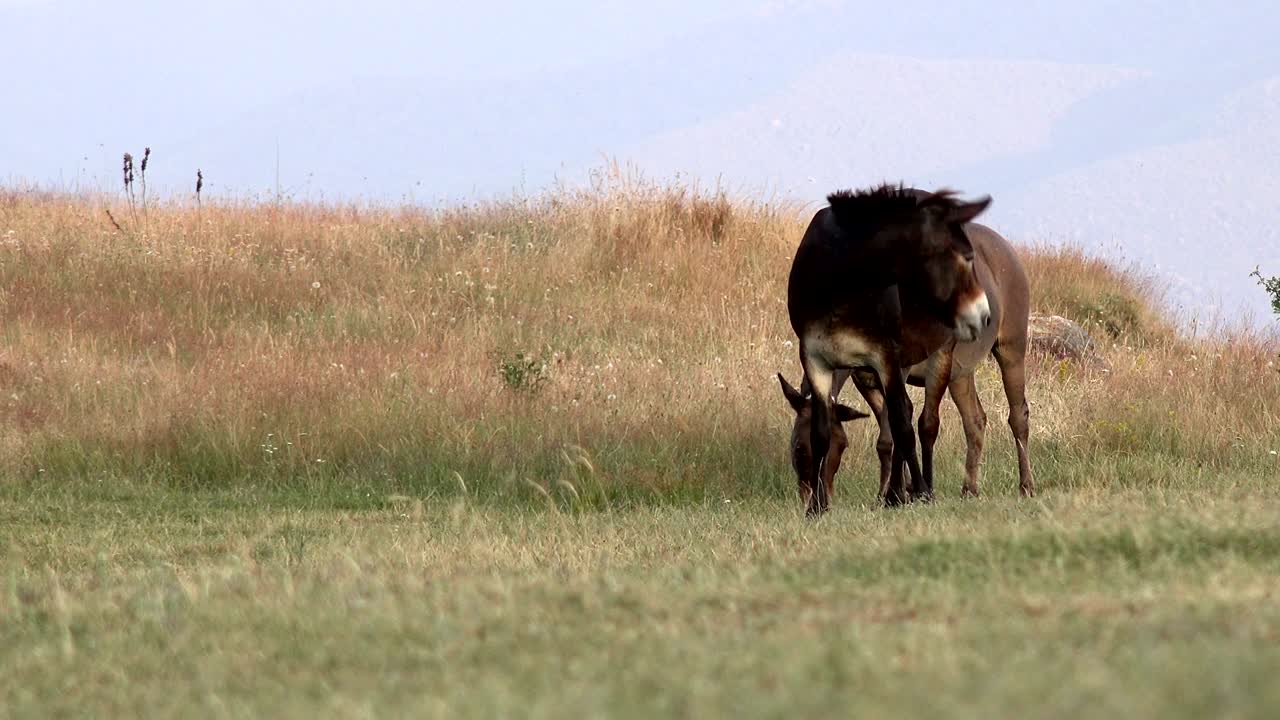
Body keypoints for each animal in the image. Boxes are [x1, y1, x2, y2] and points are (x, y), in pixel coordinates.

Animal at [782, 186, 1033, 512]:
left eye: (844, 446)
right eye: (797, 447)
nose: (810, 494)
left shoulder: (892, 362)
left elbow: (904, 423)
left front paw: (902, 493)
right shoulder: (855, 373)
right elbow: (885, 437)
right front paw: (886, 493)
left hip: (1002, 351)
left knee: (1007, 417)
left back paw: (1024, 486)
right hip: (960, 373)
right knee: (974, 421)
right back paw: (968, 488)